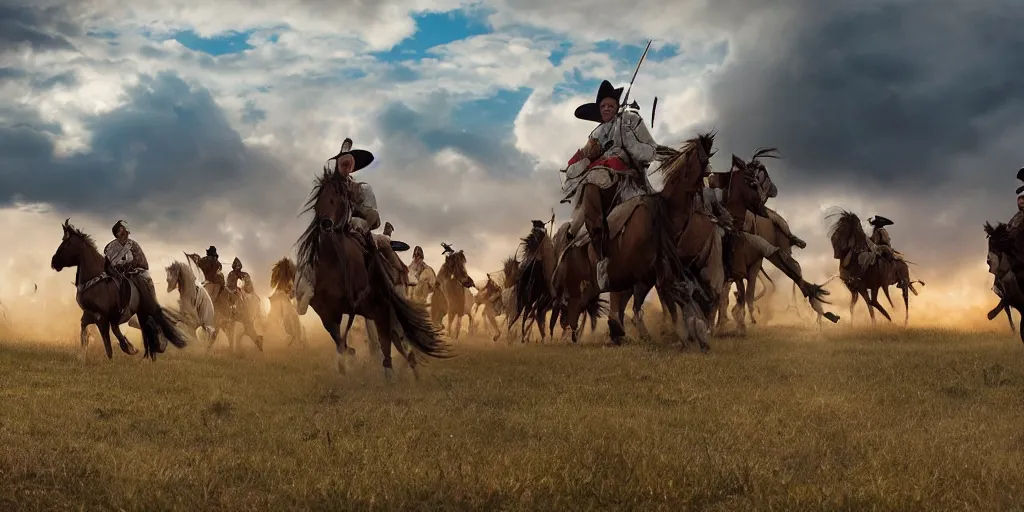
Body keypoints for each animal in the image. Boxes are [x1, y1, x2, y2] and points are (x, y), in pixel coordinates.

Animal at [49, 219, 192, 360]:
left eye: (67, 244)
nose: (54, 262)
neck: (96, 280)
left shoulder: (102, 318)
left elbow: (107, 345)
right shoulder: (89, 315)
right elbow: (85, 337)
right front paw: (82, 357)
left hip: (145, 310)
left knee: (152, 327)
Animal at [292, 161, 444, 378]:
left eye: (339, 196)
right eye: (320, 197)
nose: (326, 223)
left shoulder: (380, 307)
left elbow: (386, 342)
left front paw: (389, 371)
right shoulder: (328, 311)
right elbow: (340, 341)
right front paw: (349, 359)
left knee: (396, 337)